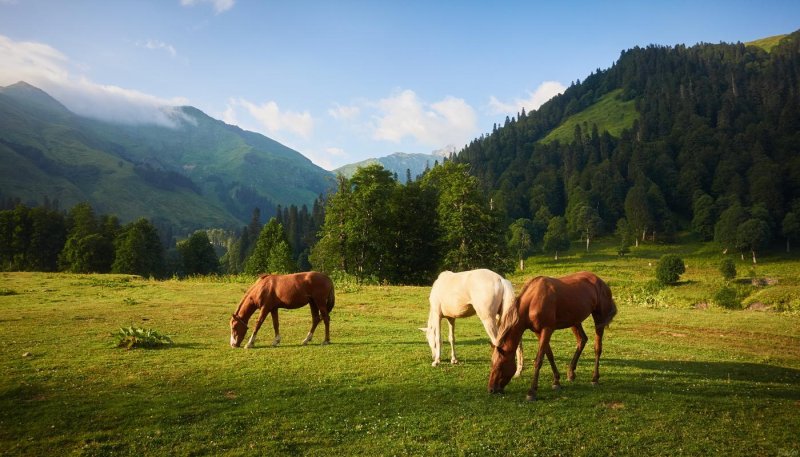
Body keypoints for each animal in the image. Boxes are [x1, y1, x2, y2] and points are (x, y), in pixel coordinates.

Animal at [484, 270, 616, 400]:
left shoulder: (547, 330)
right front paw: (556, 382)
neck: (533, 301)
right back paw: (571, 373)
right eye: (491, 365)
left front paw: (531, 392)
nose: (491, 390)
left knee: (597, 348)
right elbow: (549, 355)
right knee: (582, 340)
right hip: (574, 321)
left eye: (500, 365)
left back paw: (595, 379)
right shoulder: (538, 332)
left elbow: (539, 359)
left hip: (599, 320)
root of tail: (600, 282)